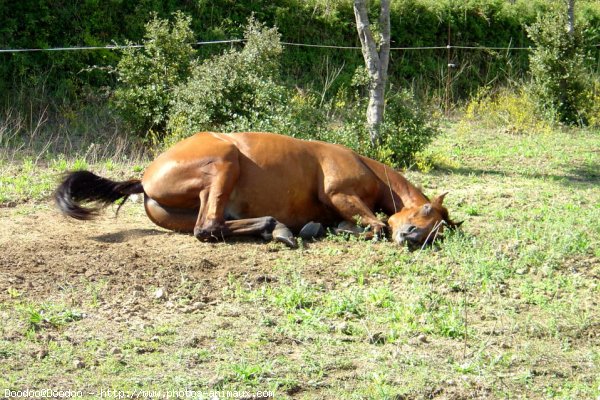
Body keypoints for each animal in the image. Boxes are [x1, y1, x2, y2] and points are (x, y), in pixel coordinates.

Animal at [55, 132, 460, 247]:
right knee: (209, 228)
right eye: (425, 211)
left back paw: (277, 228)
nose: (412, 237)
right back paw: (276, 228)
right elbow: (374, 225)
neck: (366, 167)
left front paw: (318, 227)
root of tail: (145, 176)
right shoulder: (340, 194)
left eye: (438, 231)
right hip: (224, 163)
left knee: (214, 226)